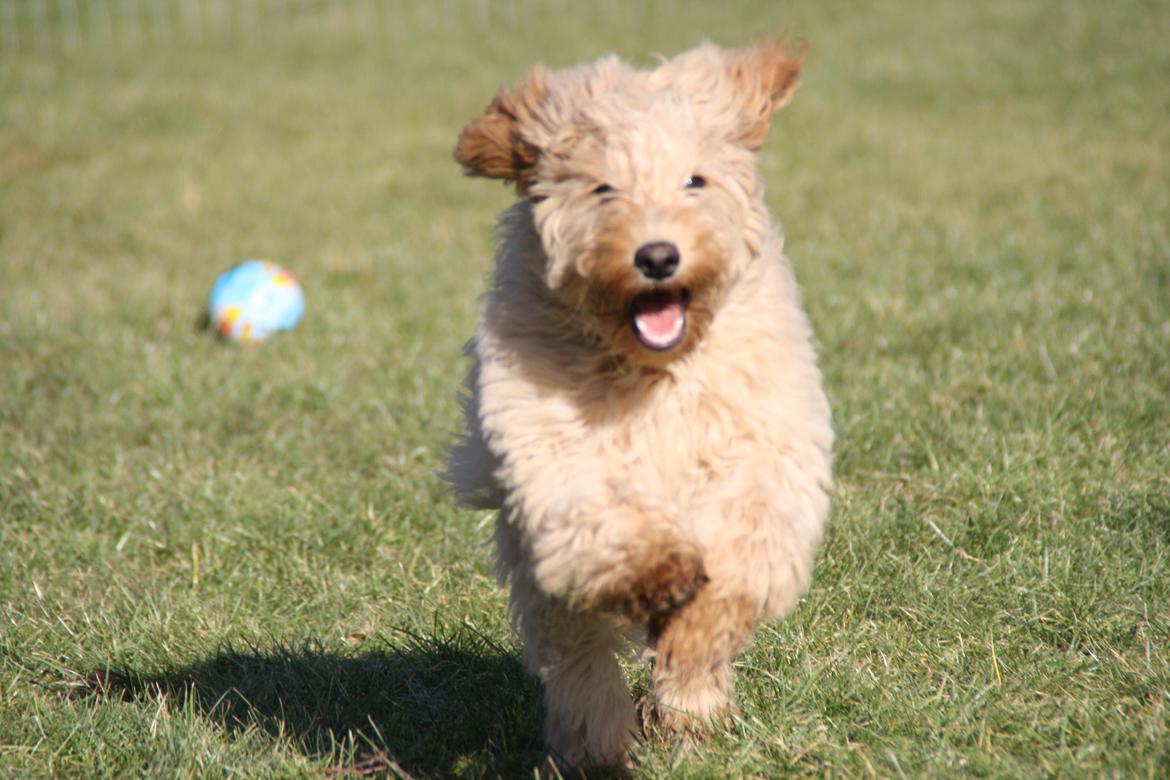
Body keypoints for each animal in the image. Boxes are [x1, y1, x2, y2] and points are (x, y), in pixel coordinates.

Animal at [442, 36, 837, 767]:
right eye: (604, 187)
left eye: (695, 181)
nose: (657, 256)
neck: (654, 372)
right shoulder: (549, 443)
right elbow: (602, 515)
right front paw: (660, 573)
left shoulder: (765, 445)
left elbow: (742, 554)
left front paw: (694, 634)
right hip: (543, 582)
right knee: (579, 660)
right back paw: (594, 744)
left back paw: (690, 711)